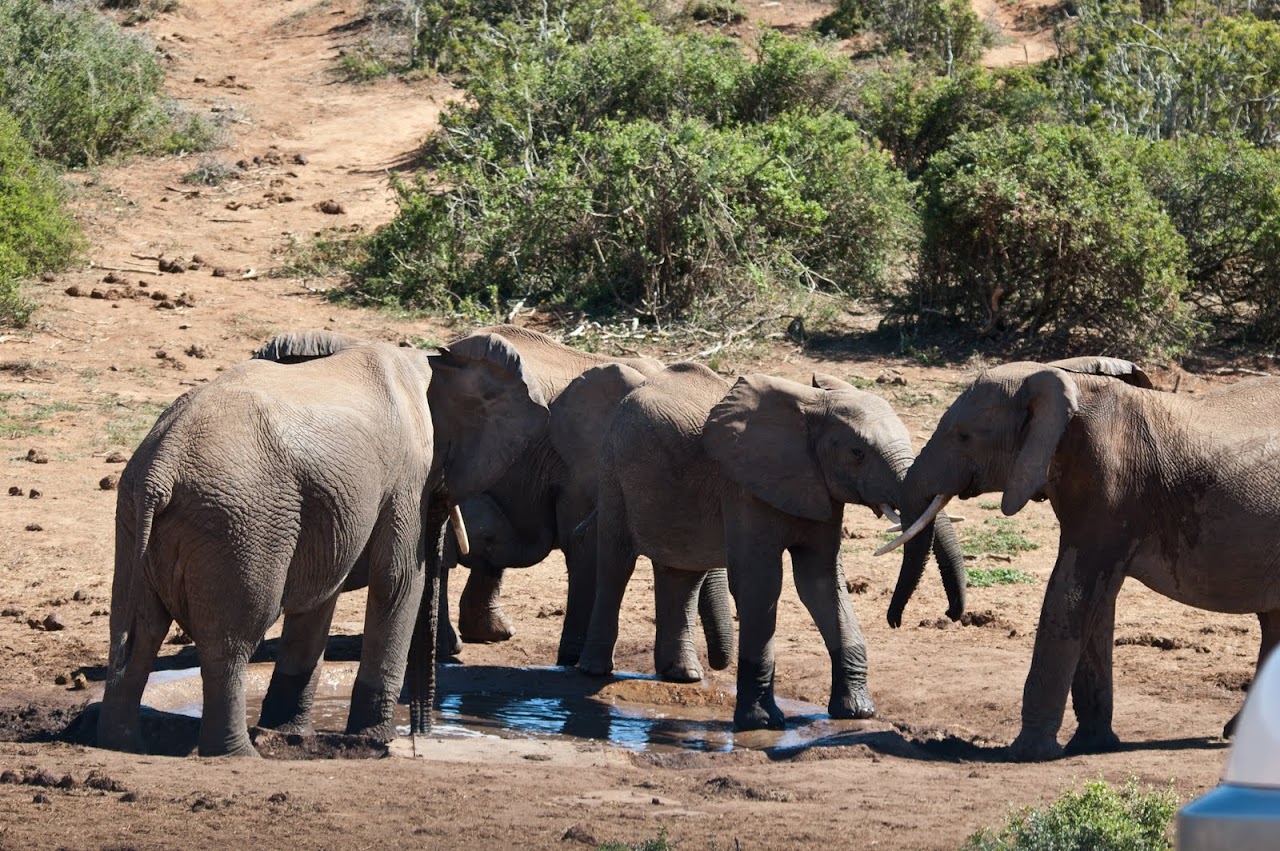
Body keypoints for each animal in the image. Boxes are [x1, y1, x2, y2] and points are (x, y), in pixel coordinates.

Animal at [97, 331, 547, 756]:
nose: (421, 734)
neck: (429, 363)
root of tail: (162, 466)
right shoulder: (406, 475)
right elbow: (399, 582)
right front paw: (374, 739)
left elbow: (320, 597)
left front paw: (286, 732)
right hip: (239, 522)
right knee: (230, 643)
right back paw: (238, 754)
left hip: (135, 513)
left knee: (137, 633)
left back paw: (120, 743)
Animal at [578, 362, 966, 730]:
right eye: (857, 453)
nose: (895, 620)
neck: (813, 408)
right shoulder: (744, 486)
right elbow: (760, 584)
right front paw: (762, 723)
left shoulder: (818, 488)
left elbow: (821, 581)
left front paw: (858, 712)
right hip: (613, 472)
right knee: (616, 566)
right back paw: (595, 671)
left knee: (683, 573)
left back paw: (683, 676)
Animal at [881, 355, 1280, 760]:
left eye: (963, 436)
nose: (897, 622)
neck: (1061, 382)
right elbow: (1095, 603)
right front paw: (1092, 744)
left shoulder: (1113, 488)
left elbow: (1071, 594)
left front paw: (1026, 753)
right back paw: (1239, 733)